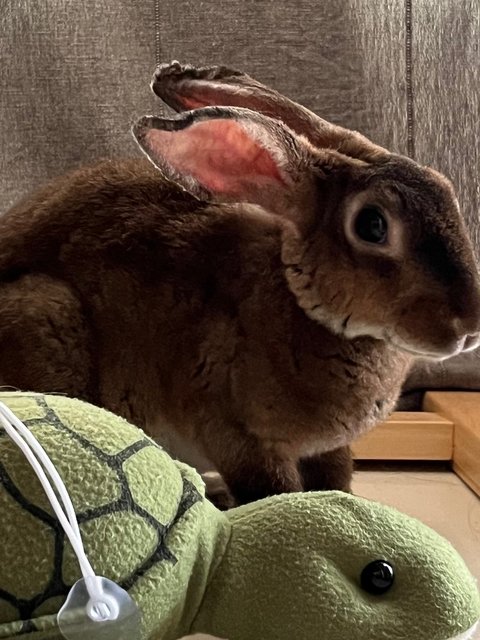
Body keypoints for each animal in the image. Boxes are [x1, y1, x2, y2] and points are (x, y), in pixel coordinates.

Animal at [0, 62, 480, 508]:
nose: (470, 324)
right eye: (373, 225)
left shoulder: (327, 450)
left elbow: (335, 482)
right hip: (49, 322)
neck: (300, 304)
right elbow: (272, 491)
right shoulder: (237, 435)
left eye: (445, 188)